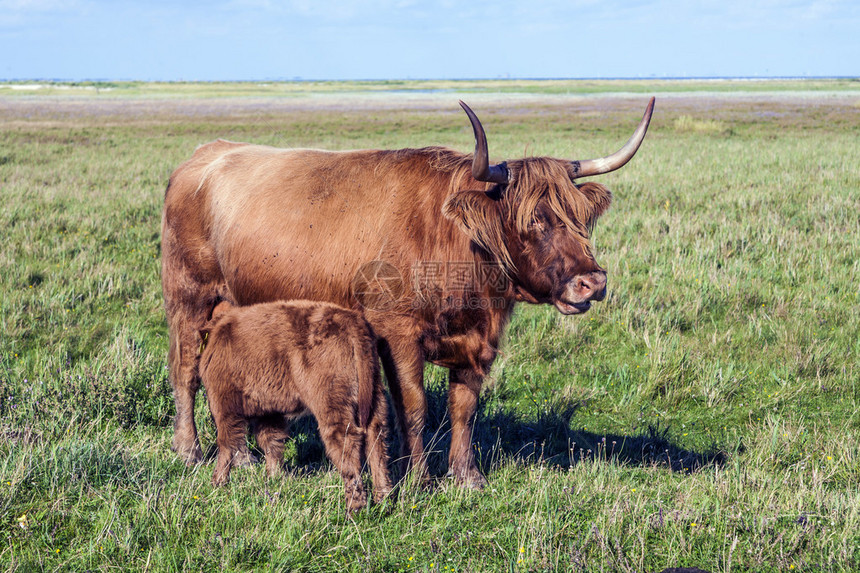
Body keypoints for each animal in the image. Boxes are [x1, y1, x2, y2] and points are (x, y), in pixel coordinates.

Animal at [198, 300, 394, 510]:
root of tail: (352, 322)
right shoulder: (269, 410)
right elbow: (271, 440)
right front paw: (275, 478)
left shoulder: (224, 403)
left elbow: (226, 442)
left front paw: (218, 481)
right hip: (375, 395)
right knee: (376, 437)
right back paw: (384, 498)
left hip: (332, 402)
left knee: (345, 441)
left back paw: (355, 508)